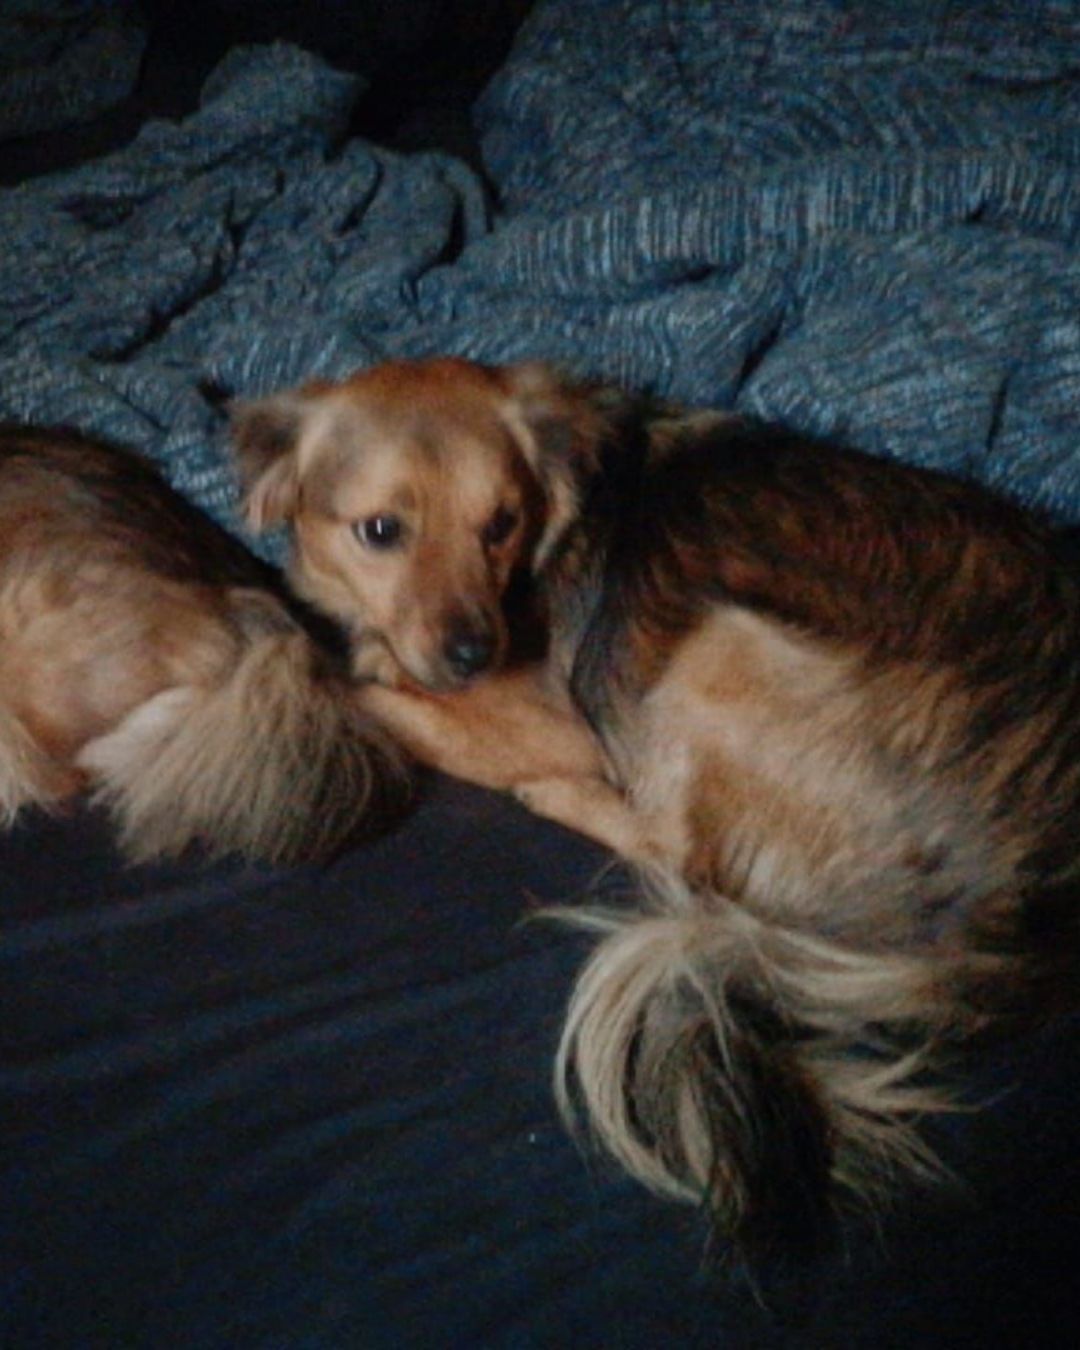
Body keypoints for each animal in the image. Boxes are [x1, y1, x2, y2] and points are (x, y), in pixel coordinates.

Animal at [233, 356, 1080, 1253]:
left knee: (677, 847)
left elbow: (362, 683)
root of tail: (1022, 916)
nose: (475, 654)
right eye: (381, 531)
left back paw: (558, 792)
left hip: (720, 644)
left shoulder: (555, 718)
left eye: (500, 523)